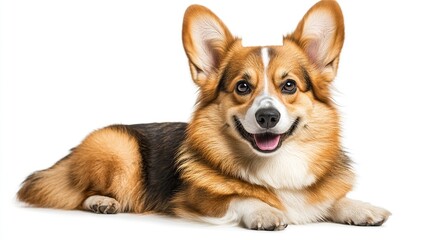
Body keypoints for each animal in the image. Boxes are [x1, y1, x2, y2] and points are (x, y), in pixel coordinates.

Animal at [18, 0, 390, 232]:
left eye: (289, 85)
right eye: (243, 87)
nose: (268, 117)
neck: (276, 165)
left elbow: (333, 200)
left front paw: (361, 207)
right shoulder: (197, 201)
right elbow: (240, 197)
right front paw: (264, 210)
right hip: (118, 149)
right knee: (76, 192)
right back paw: (101, 201)